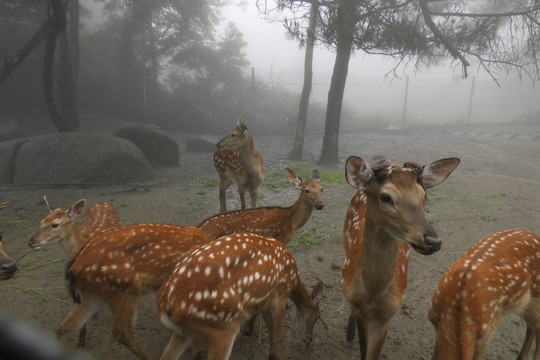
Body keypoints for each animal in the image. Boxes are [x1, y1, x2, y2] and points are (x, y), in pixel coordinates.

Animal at [59, 224, 211, 358]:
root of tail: (72, 267)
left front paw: (196, 351)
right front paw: (197, 352)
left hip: (93, 295)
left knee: (65, 329)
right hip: (123, 290)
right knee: (121, 332)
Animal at [158, 232, 322, 358]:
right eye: (318, 316)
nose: (309, 340)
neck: (293, 279)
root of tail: (165, 305)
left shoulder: (265, 299)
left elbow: (271, 331)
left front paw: (271, 355)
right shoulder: (280, 293)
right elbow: (279, 337)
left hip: (186, 330)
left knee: (166, 354)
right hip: (223, 325)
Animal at [342, 156, 460, 360]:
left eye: (424, 195)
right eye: (385, 197)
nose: (434, 241)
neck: (373, 294)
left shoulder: (388, 313)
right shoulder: (360, 308)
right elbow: (364, 348)